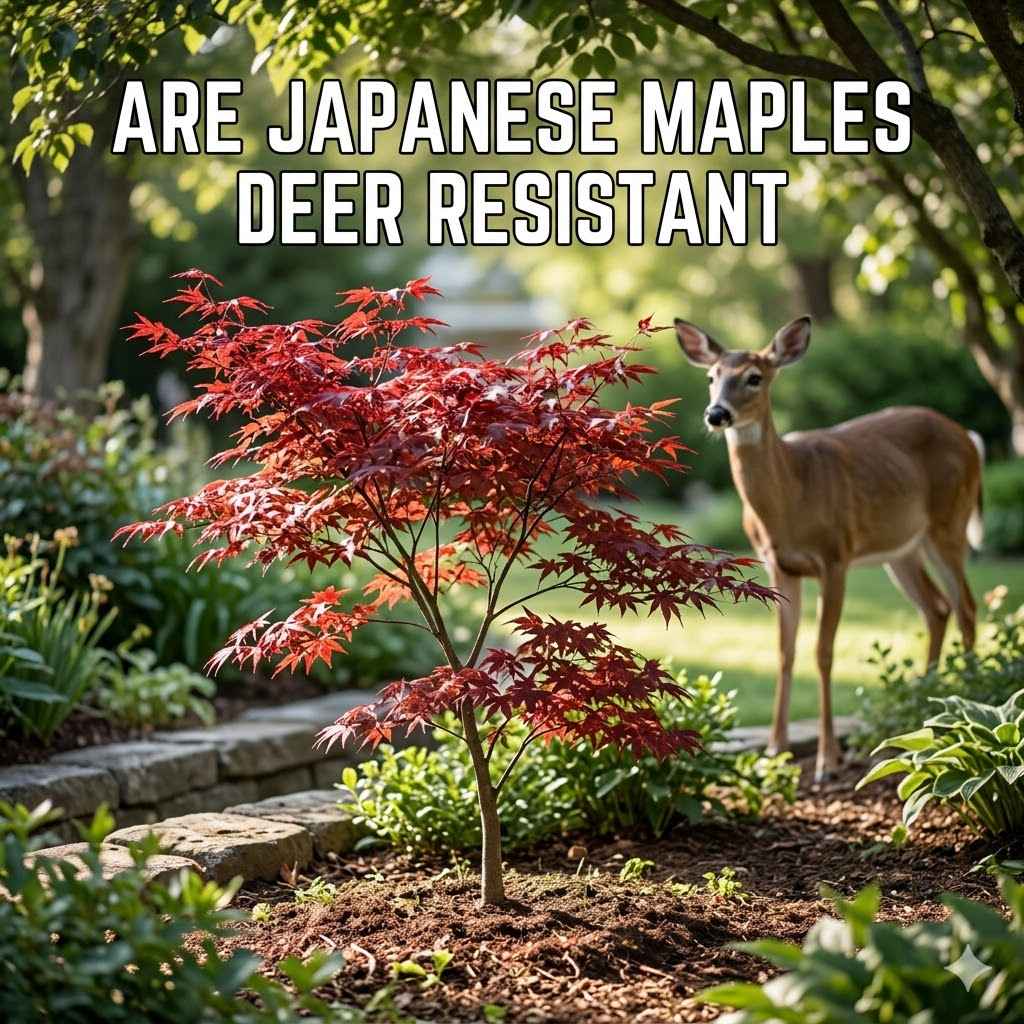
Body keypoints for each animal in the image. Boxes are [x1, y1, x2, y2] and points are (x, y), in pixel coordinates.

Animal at [676, 314, 984, 781]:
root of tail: (967, 437)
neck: (791, 497)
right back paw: (927, 706)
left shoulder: (835, 556)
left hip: (949, 522)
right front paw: (774, 750)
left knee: (965, 605)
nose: (716, 414)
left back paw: (966, 701)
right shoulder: (779, 567)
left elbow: (823, 653)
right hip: (901, 549)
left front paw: (827, 761)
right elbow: (784, 652)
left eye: (754, 377)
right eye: (711, 377)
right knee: (937, 608)